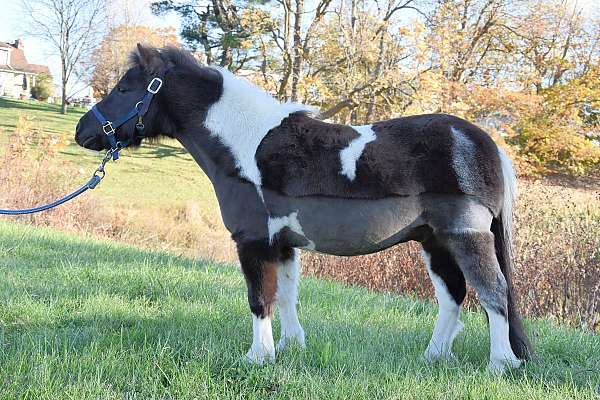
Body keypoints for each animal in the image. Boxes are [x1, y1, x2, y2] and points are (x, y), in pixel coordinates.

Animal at [74, 45, 528, 374]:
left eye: (124, 89)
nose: (83, 131)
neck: (246, 143)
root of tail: (483, 142)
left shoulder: (254, 242)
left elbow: (260, 298)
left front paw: (258, 357)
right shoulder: (284, 244)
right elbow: (288, 295)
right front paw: (291, 347)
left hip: (466, 238)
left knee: (493, 292)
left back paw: (501, 364)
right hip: (435, 242)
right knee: (453, 296)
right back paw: (434, 357)